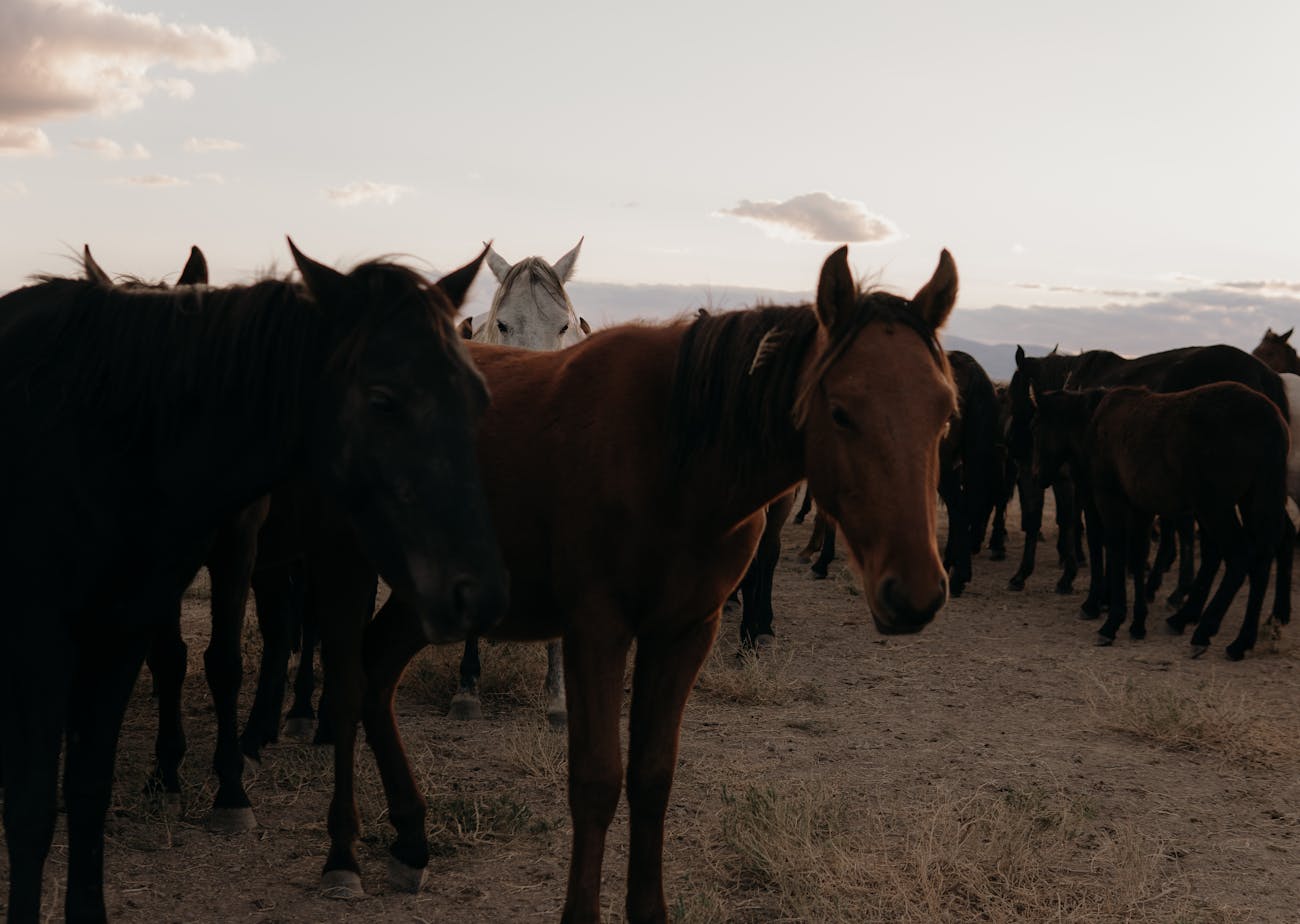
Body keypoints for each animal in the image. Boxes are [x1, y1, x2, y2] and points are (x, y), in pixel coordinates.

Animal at [0, 240, 506, 924]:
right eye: (382, 400)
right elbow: (171, 659)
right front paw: (168, 770)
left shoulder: (234, 550)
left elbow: (223, 661)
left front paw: (229, 789)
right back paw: (268, 727)